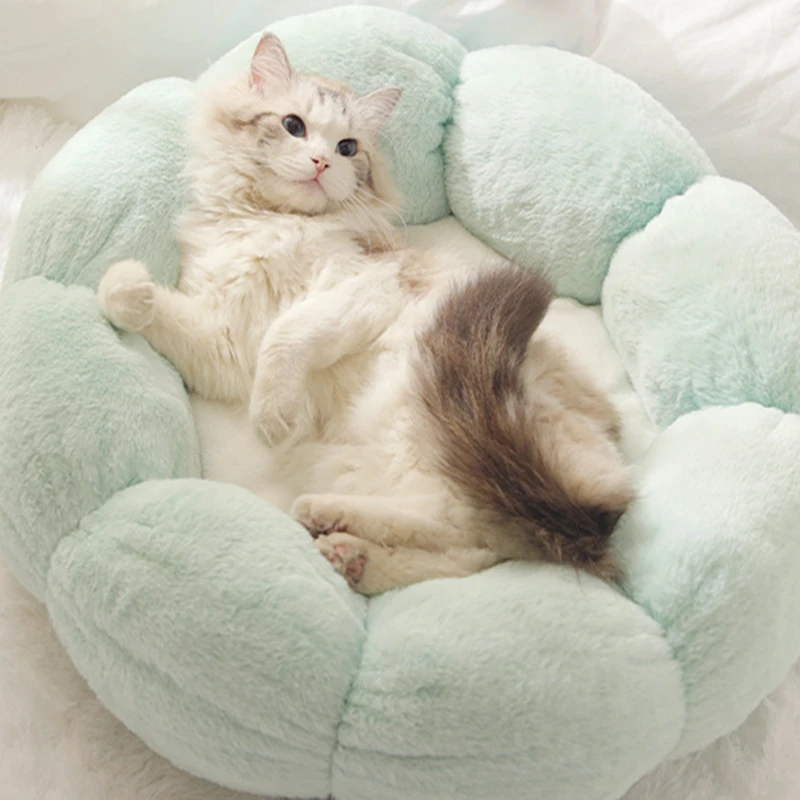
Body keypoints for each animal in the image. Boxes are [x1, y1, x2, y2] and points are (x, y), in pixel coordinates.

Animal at [97, 32, 633, 595]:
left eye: (347, 148)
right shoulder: (224, 342)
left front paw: (270, 415)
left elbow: (287, 335)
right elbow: (133, 301)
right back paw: (346, 551)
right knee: (460, 546)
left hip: (420, 410)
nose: (320, 163)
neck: (272, 222)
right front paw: (127, 290)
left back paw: (331, 522)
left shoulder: (368, 287)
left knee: (448, 526)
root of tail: (610, 497)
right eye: (294, 126)